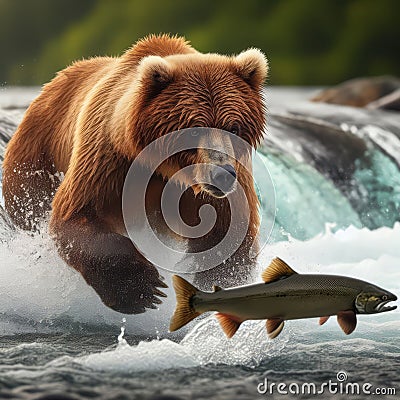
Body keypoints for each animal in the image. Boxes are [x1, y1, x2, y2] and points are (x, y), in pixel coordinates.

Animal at [2, 34, 268, 314]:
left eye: (234, 127)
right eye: (194, 129)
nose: (222, 174)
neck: (165, 169)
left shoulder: (221, 186)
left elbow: (225, 234)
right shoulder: (110, 161)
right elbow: (77, 214)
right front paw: (144, 289)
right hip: (36, 159)